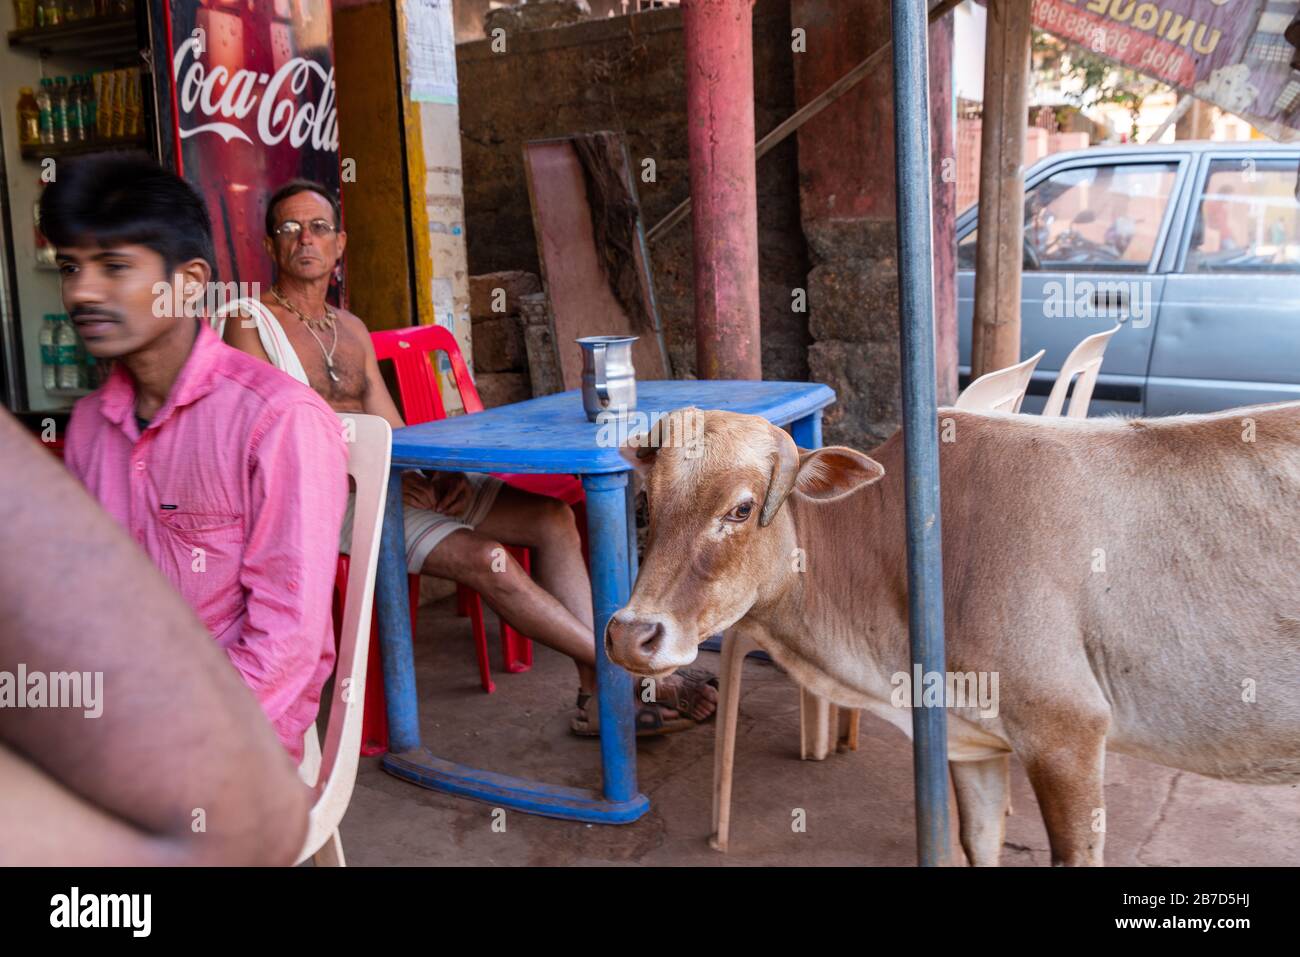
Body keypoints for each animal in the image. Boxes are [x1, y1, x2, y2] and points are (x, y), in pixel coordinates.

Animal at [605, 403, 1300, 868]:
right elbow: (977, 844)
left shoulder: (1067, 731)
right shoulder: (973, 741)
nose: (631, 634)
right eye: (644, 506)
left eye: (742, 509)